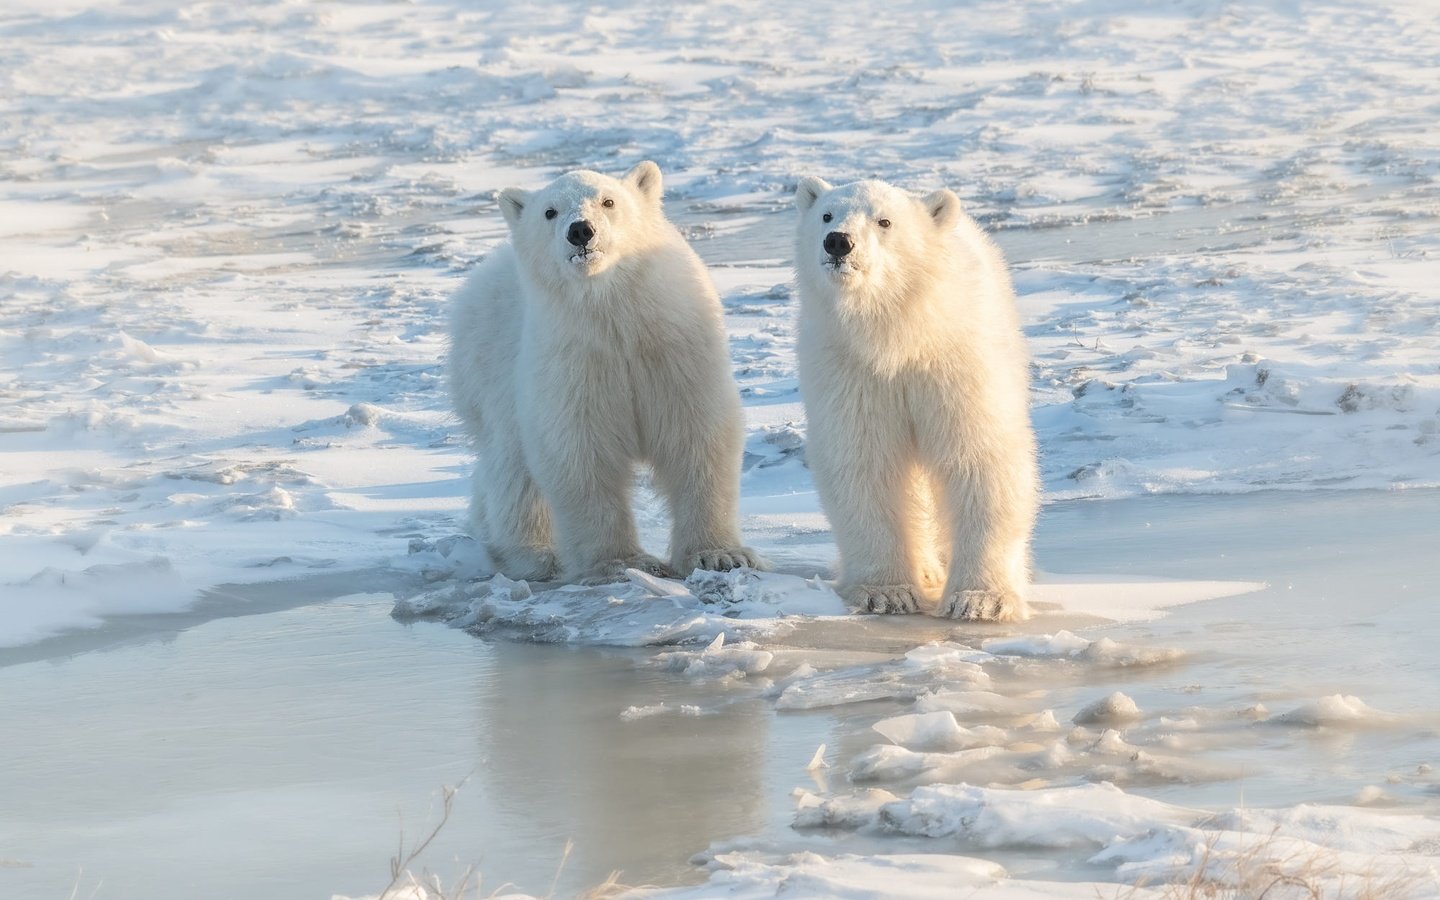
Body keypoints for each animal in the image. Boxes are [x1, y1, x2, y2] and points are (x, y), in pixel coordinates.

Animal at [446, 160, 766, 581]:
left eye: (608, 201)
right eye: (549, 211)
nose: (580, 230)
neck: (615, 315)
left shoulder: (676, 350)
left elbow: (696, 435)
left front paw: (721, 555)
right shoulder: (574, 361)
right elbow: (581, 450)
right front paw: (622, 562)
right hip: (490, 370)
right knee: (512, 466)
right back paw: (531, 554)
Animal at [800, 177, 1036, 622]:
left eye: (884, 221)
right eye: (826, 214)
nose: (838, 242)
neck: (899, 335)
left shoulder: (955, 362)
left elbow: (979, 457)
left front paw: (981, 599)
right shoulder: (853, 372)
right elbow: (865, 462)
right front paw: (886, 593)